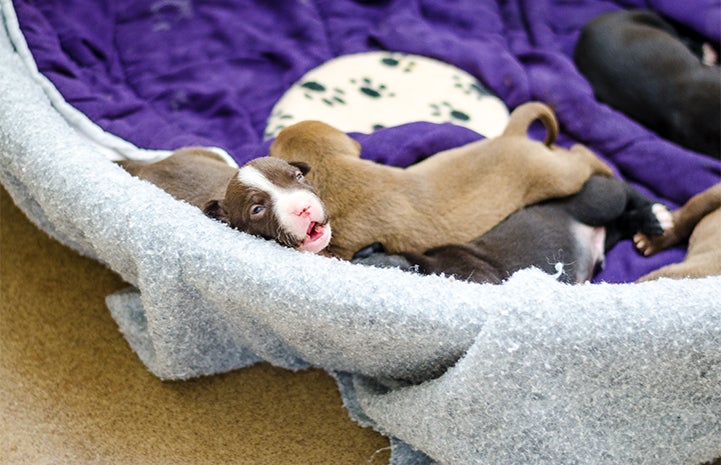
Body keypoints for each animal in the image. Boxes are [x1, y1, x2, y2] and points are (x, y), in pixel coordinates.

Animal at [268, 101, 612, 260]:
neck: (334, 170)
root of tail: (511, 135)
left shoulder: (342, 246)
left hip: (561, 177)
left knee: (581, 155)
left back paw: (607, 168)